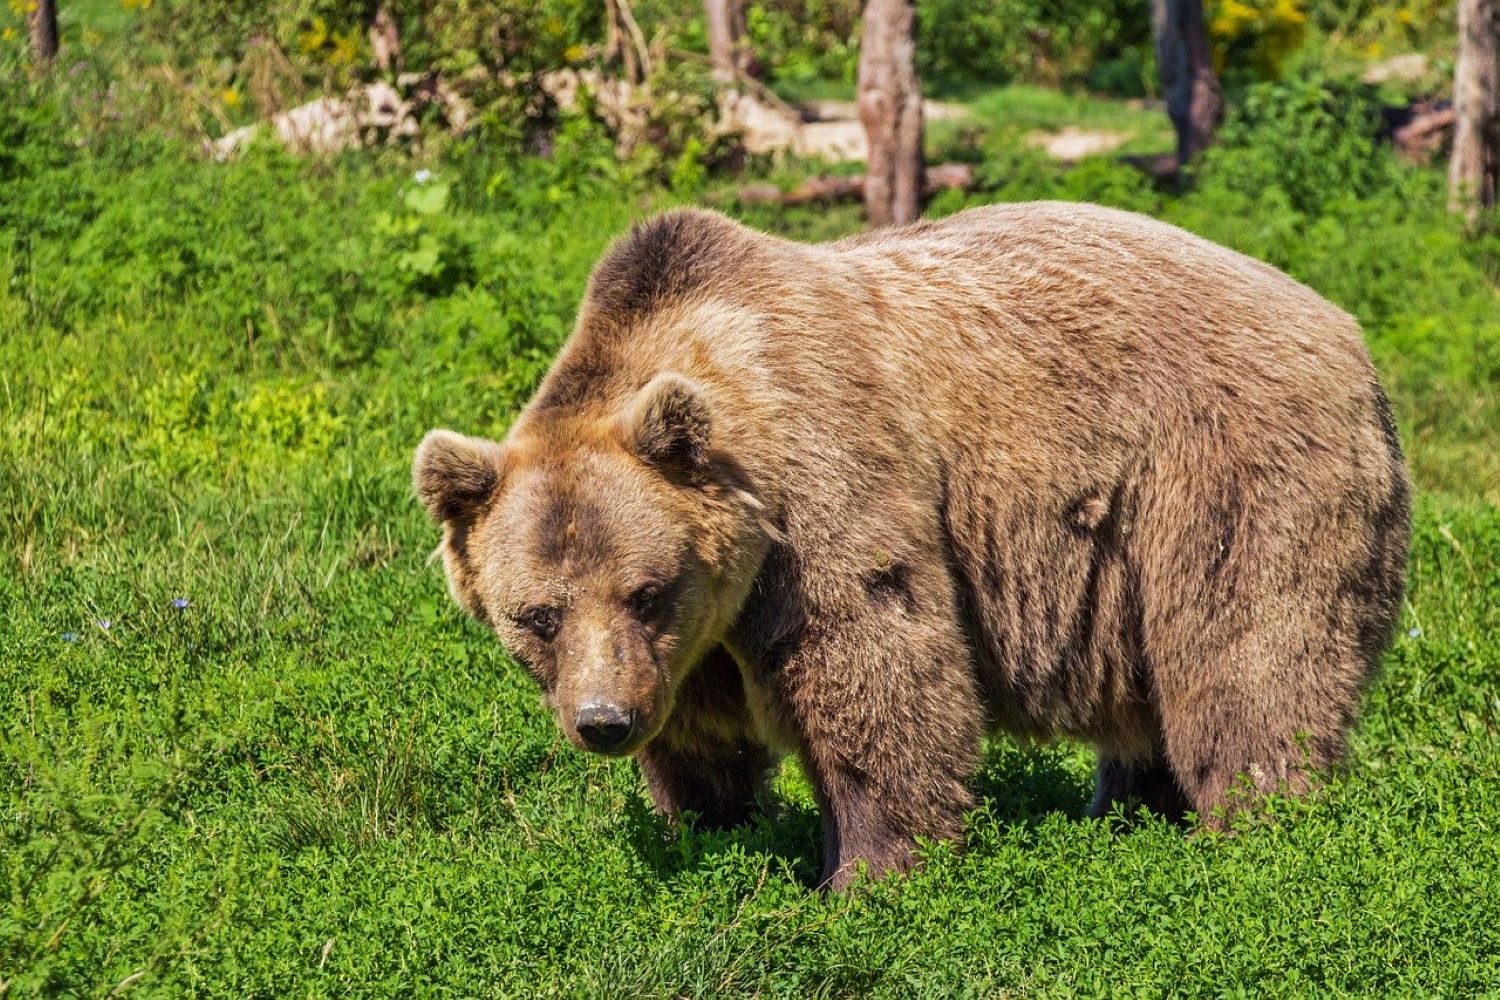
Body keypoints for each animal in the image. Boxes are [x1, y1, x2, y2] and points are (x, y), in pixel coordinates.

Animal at [411, 203, 1404, 893]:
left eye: (645, 590)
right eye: (536, 615)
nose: (603, 721)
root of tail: (1350, 334)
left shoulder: (822, 491)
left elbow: (874, 665)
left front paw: (867, 873)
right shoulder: (694, 638)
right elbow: (701, 732)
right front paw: (712, 827)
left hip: (1223, 473)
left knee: (1246, 656)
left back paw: (1257, 827)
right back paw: (1127, 812)